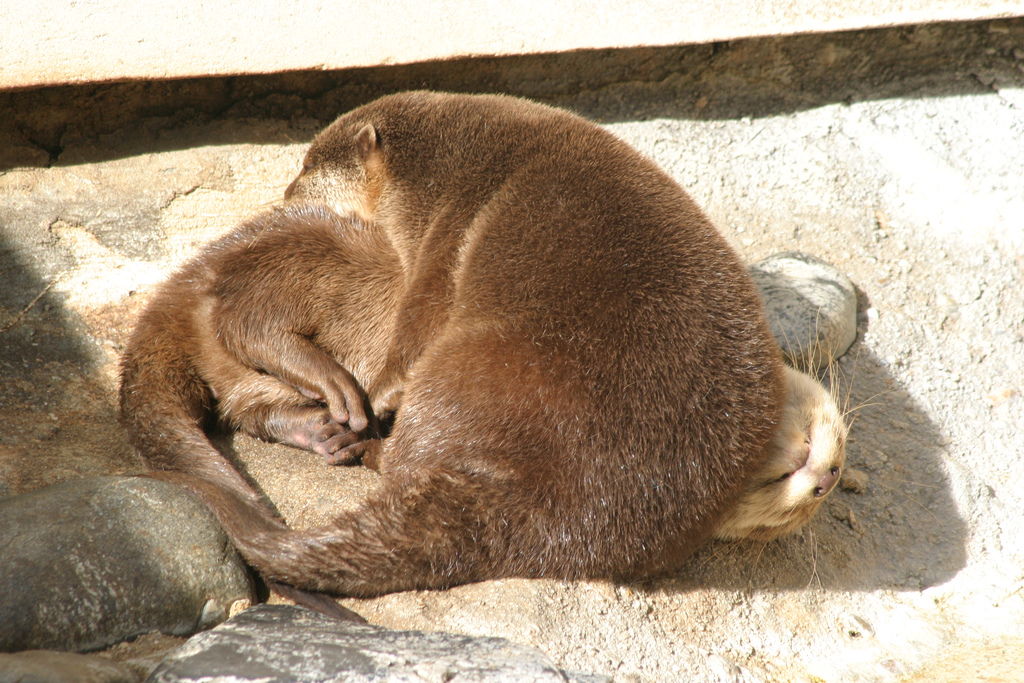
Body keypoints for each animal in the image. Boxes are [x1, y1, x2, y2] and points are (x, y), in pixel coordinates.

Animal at [122, 91, 843, 598]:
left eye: (306, 168)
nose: (286, 193)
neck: (450, 166)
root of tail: (540, 504)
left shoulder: (449, 228)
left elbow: (419, 315)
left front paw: (378, 392)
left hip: (457, 362)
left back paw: (349, 423)